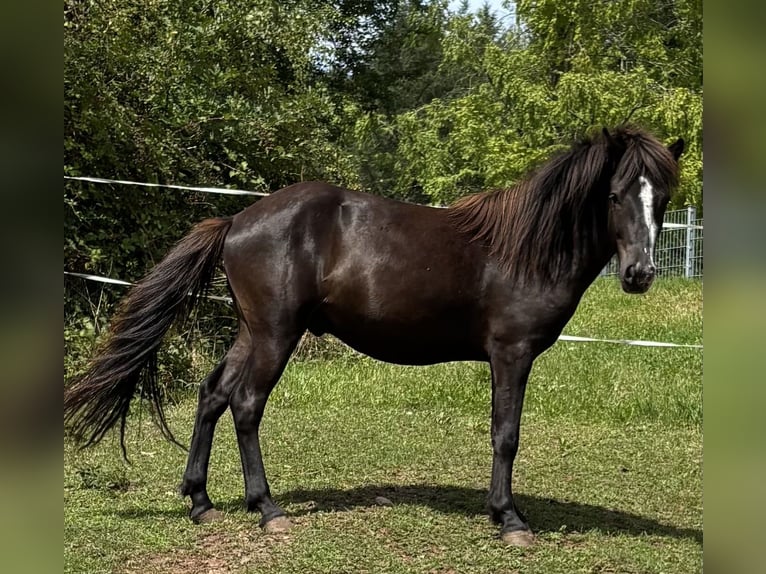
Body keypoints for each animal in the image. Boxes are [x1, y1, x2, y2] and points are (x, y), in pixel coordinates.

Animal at [64, 126, 684, 546]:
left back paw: (201, 501)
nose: (639, 274)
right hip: (276, 335)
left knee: (213, 395)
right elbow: (505, 435)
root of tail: (237, 221)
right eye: (614, 195)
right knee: (245, 404)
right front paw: (508, 518)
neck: (526, 248)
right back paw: (267, 508)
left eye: (663, 199)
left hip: (252, 331)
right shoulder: (511, 354)